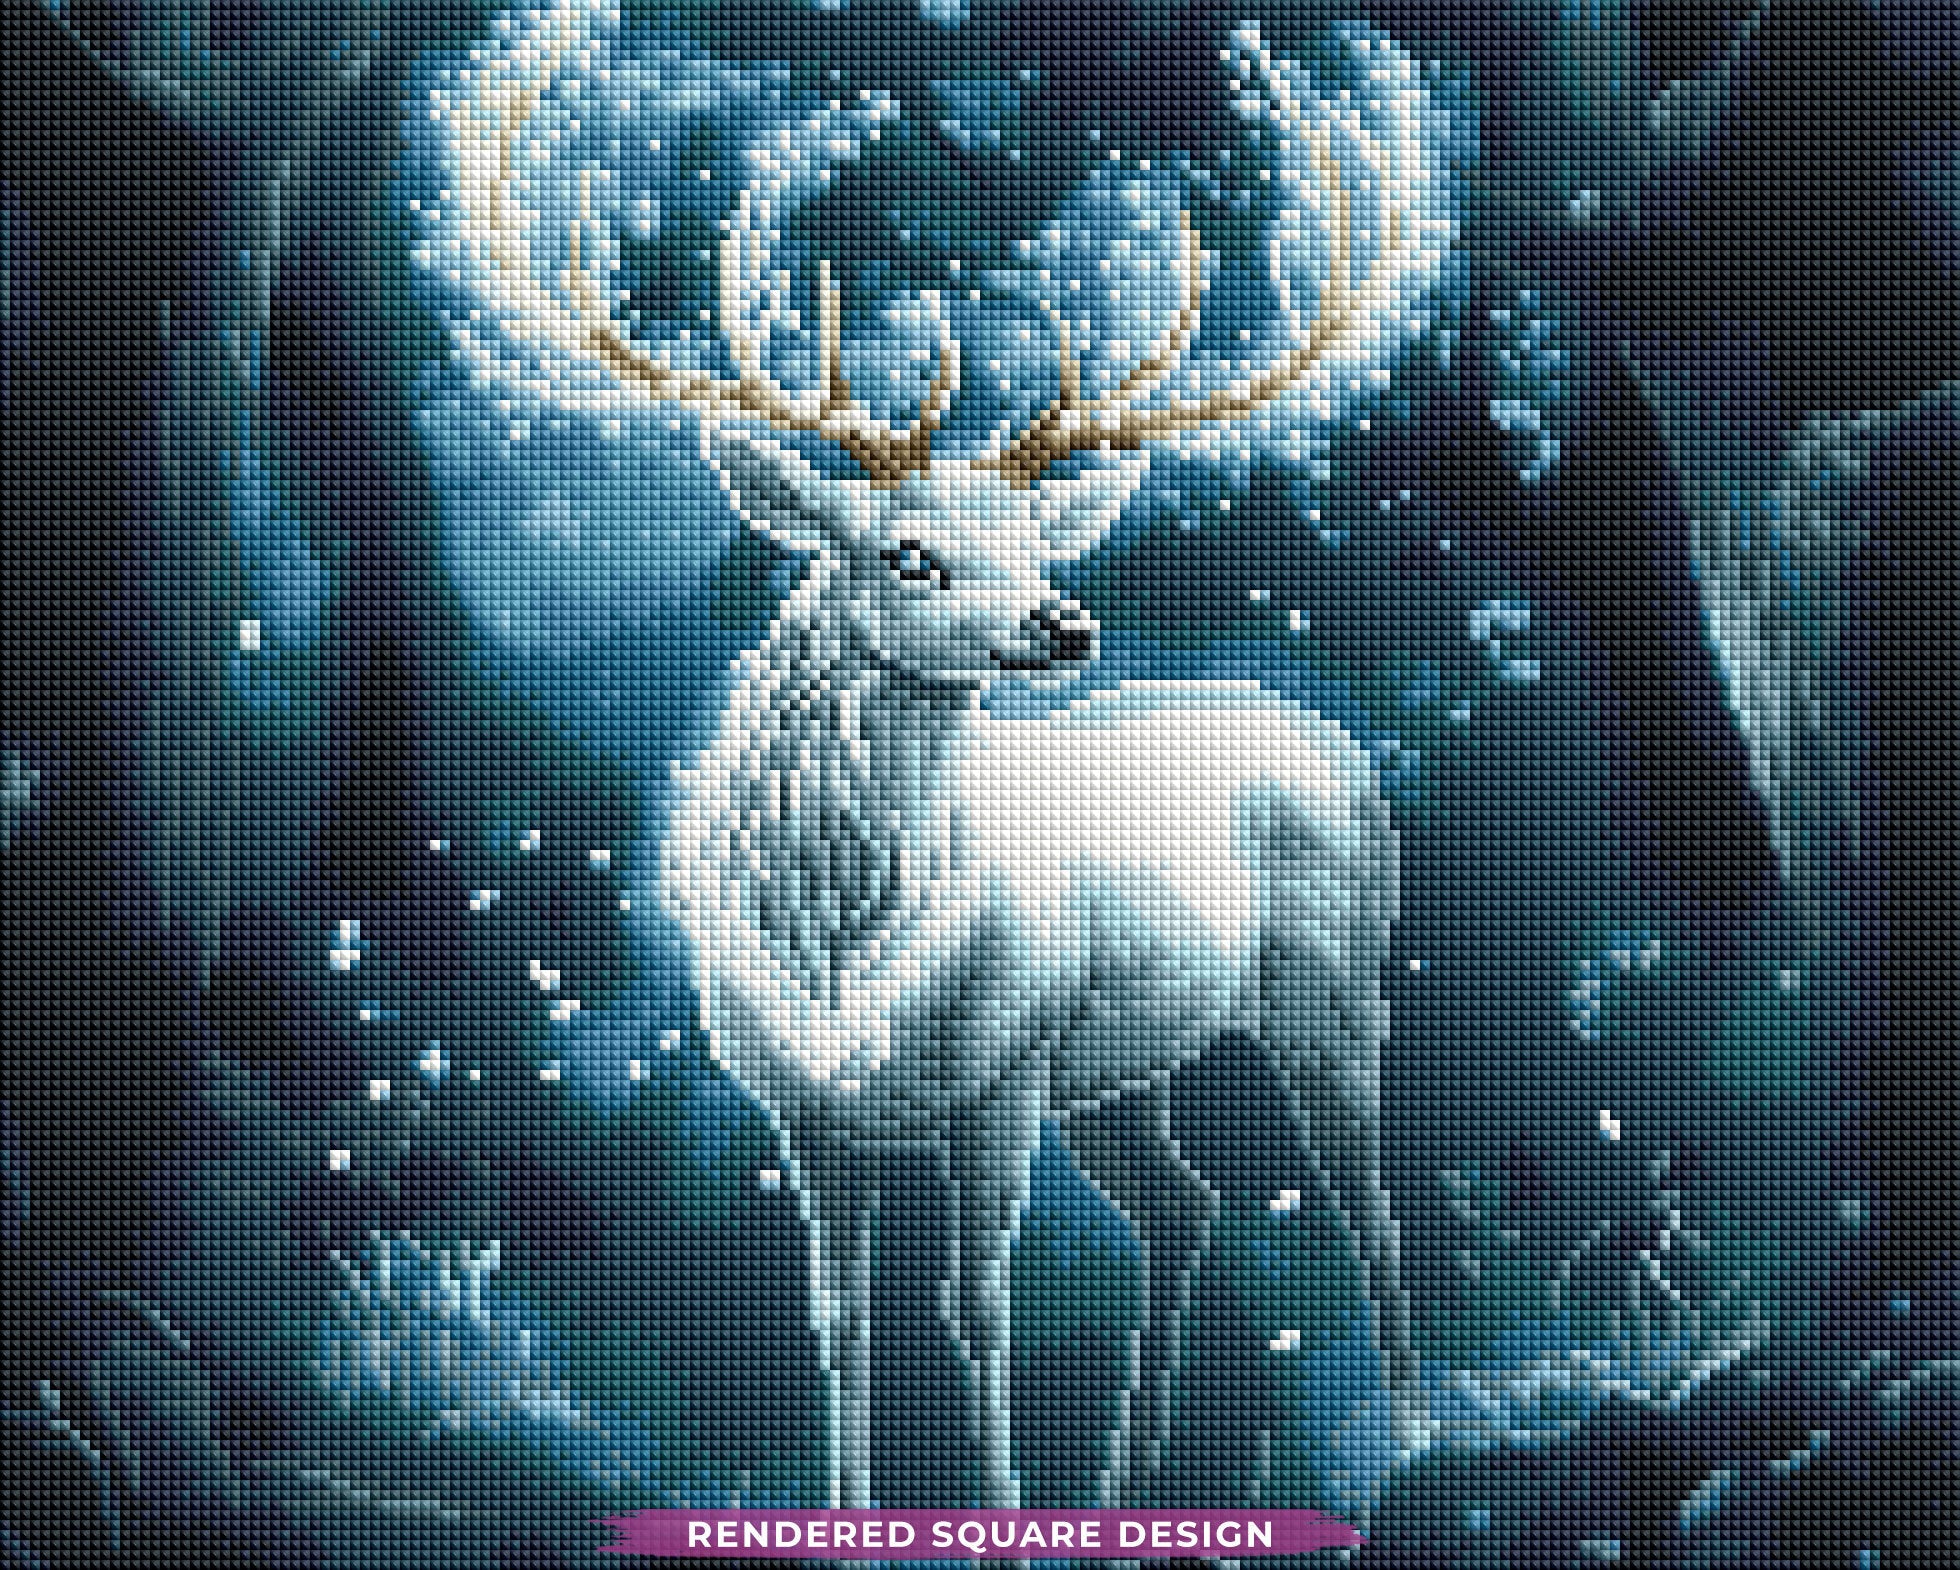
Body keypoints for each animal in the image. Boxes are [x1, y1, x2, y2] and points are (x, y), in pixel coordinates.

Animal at [444, 0, 1434, 1516]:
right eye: (908, 551)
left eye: (1034, 541)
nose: (1066, 620)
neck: (843, 941)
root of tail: (1326, 735)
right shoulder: (805, 1107)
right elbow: (840, 1316)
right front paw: (851, 1505)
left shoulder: (1002, 1072)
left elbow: (978, 1304)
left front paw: (999, 1507)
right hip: (1124, 1063)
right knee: (1189, 1204)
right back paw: (1128, 1481)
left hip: (1325, 976)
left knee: (1368, 1203)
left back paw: (1413, 1435)